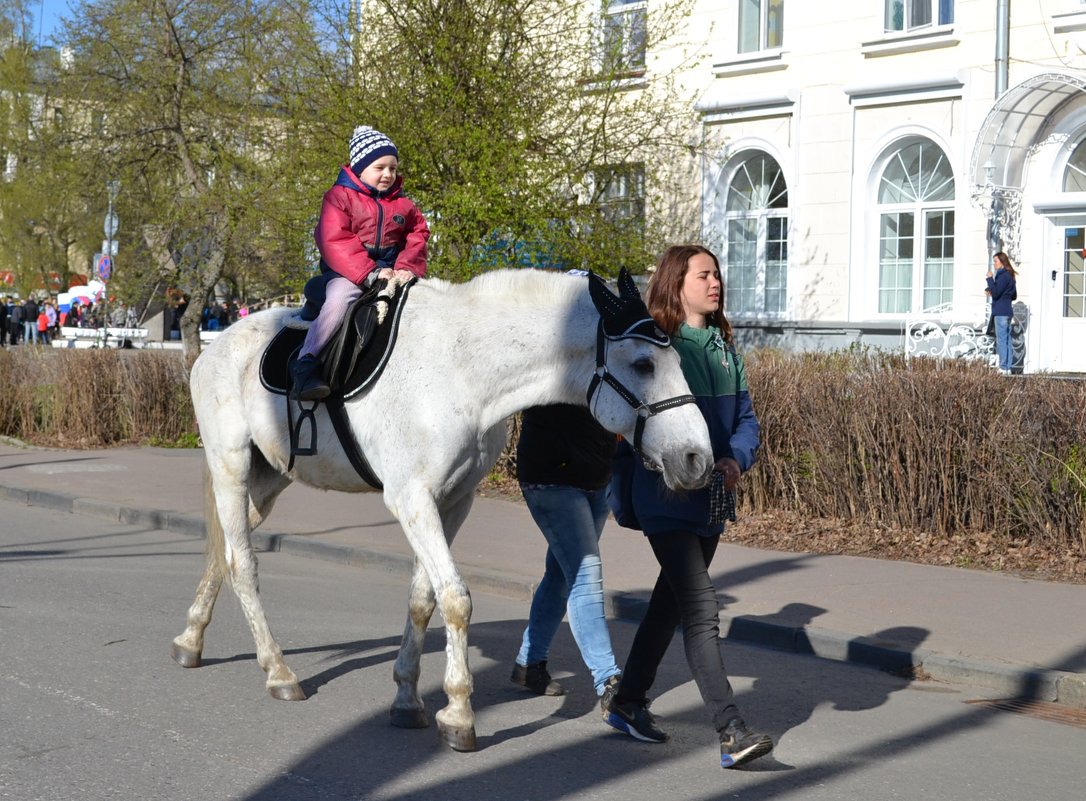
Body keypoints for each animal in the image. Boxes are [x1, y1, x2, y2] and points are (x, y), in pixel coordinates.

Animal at [169, 267, 712, 746]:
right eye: (643, 365)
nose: (696, 458)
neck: (461, 372)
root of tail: (214, 348)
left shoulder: (453, 501)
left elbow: (423, 598)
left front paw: (408, 699)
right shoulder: (412, 498)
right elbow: (455, 599)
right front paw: (459, 712)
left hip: (266, 481)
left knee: (225, 550)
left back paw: (191, 639)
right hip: (231, 466)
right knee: (243, 563)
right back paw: (278, 671)